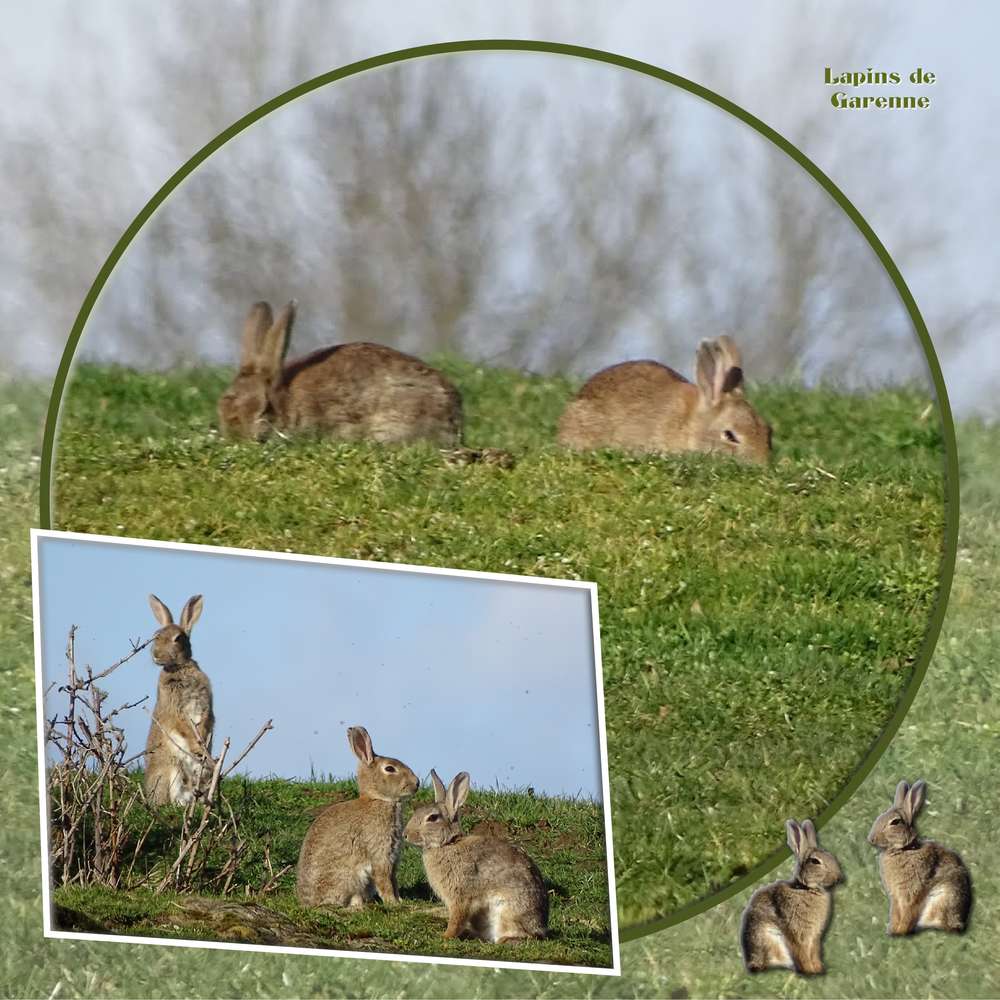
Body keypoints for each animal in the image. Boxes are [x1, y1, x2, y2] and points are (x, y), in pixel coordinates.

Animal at [143, 594, 215, 807]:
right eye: (156, 636)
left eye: (178, 638)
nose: (156, 655)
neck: (179, 668)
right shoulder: (175, 711)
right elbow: (183, 725)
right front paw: (196, 745)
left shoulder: (206, 706)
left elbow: (206, 721)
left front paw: (201, 744)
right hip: (171, 770)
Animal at [296, 726, 419, 909]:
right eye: (390, 769)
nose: (417, 783)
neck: (378, 799)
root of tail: (309, 903)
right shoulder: (380, 853)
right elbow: (384, 880)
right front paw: (393, 903)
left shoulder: (393, 857)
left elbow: (393, 880)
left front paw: (400, 901)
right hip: (351, 877)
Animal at [404, 770, 548, 942]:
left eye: (432, 818)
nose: (405, 835)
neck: (448, 844)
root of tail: (540, 927)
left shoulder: (460, 897)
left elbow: (457, 919)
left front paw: (445, 936)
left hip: (508, 911)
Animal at [740, 819, 843, 975]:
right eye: (815, 861)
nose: (838, 877)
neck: (805, 888)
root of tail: (751, 962)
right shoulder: (796, 933)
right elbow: (802, 953)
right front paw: (810, 971)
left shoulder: (814, 937)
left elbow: (813, 952)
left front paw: (818, 968)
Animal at [867, 779, 972, 935]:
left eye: (895, 822)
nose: (871, 839)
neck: (905, 849)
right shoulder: (896, 897)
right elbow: (896, 913)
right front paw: (893, 930)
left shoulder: (912, 893)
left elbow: (908, 912)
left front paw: (900, 932)